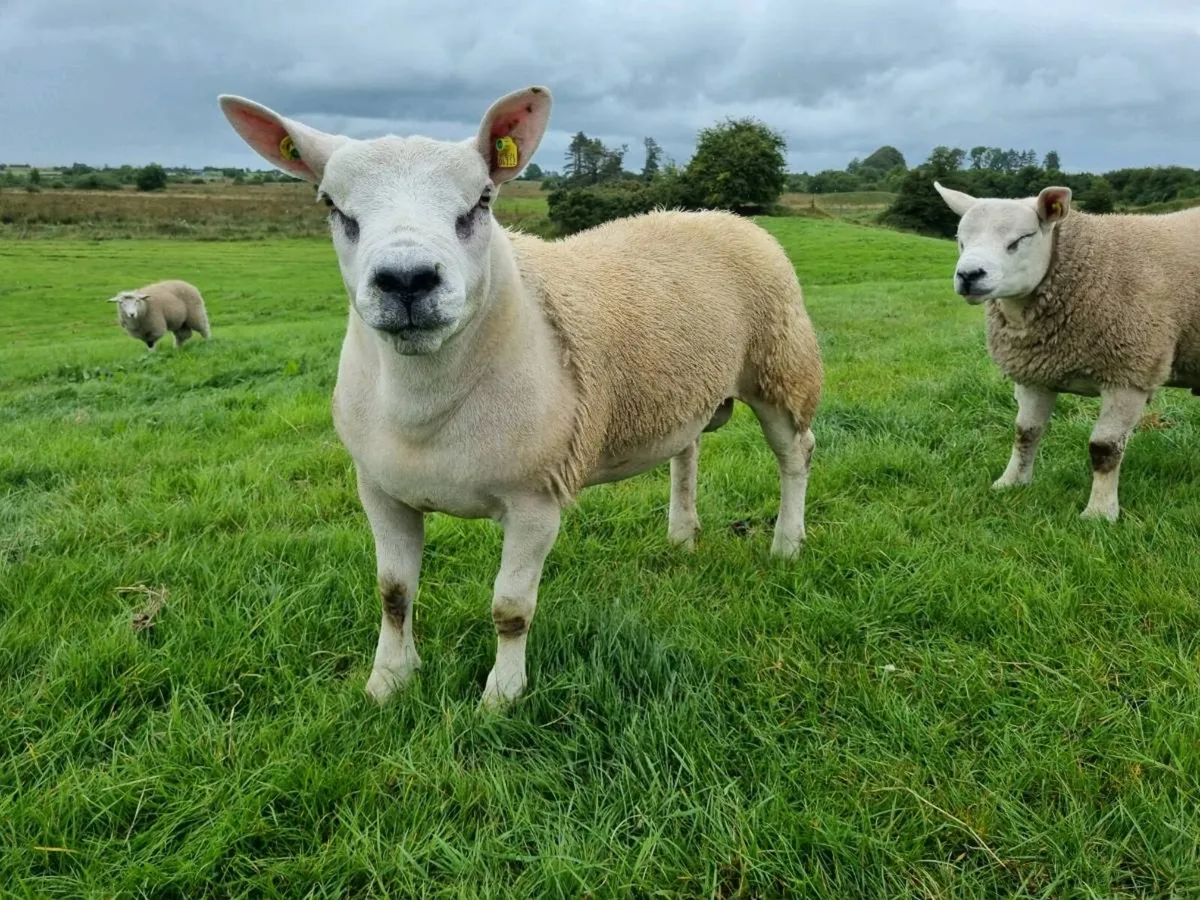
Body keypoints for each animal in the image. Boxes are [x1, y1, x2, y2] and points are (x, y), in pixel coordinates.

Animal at [217, 85, 823, 709]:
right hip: (684, 386)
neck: (425, 411)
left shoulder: (536, 498)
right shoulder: (381, 491)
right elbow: (392, 592)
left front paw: (502, 698)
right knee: (688, 451)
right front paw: (388, 681)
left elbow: (510, 609)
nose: (407, 281)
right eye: (334, 207)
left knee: (795, 455)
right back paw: (682, 536)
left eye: (482, 201)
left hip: (780, 366)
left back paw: (787, 543)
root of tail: (718, 214)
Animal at [934, 180, 1200, 521]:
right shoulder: (1036, 374)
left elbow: (1104, 448)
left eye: (1020, 239)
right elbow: (1025, 433)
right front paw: (1011, 483)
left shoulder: (1130, 374)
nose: (968, 275)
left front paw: (1099, 513)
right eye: (961, 240)